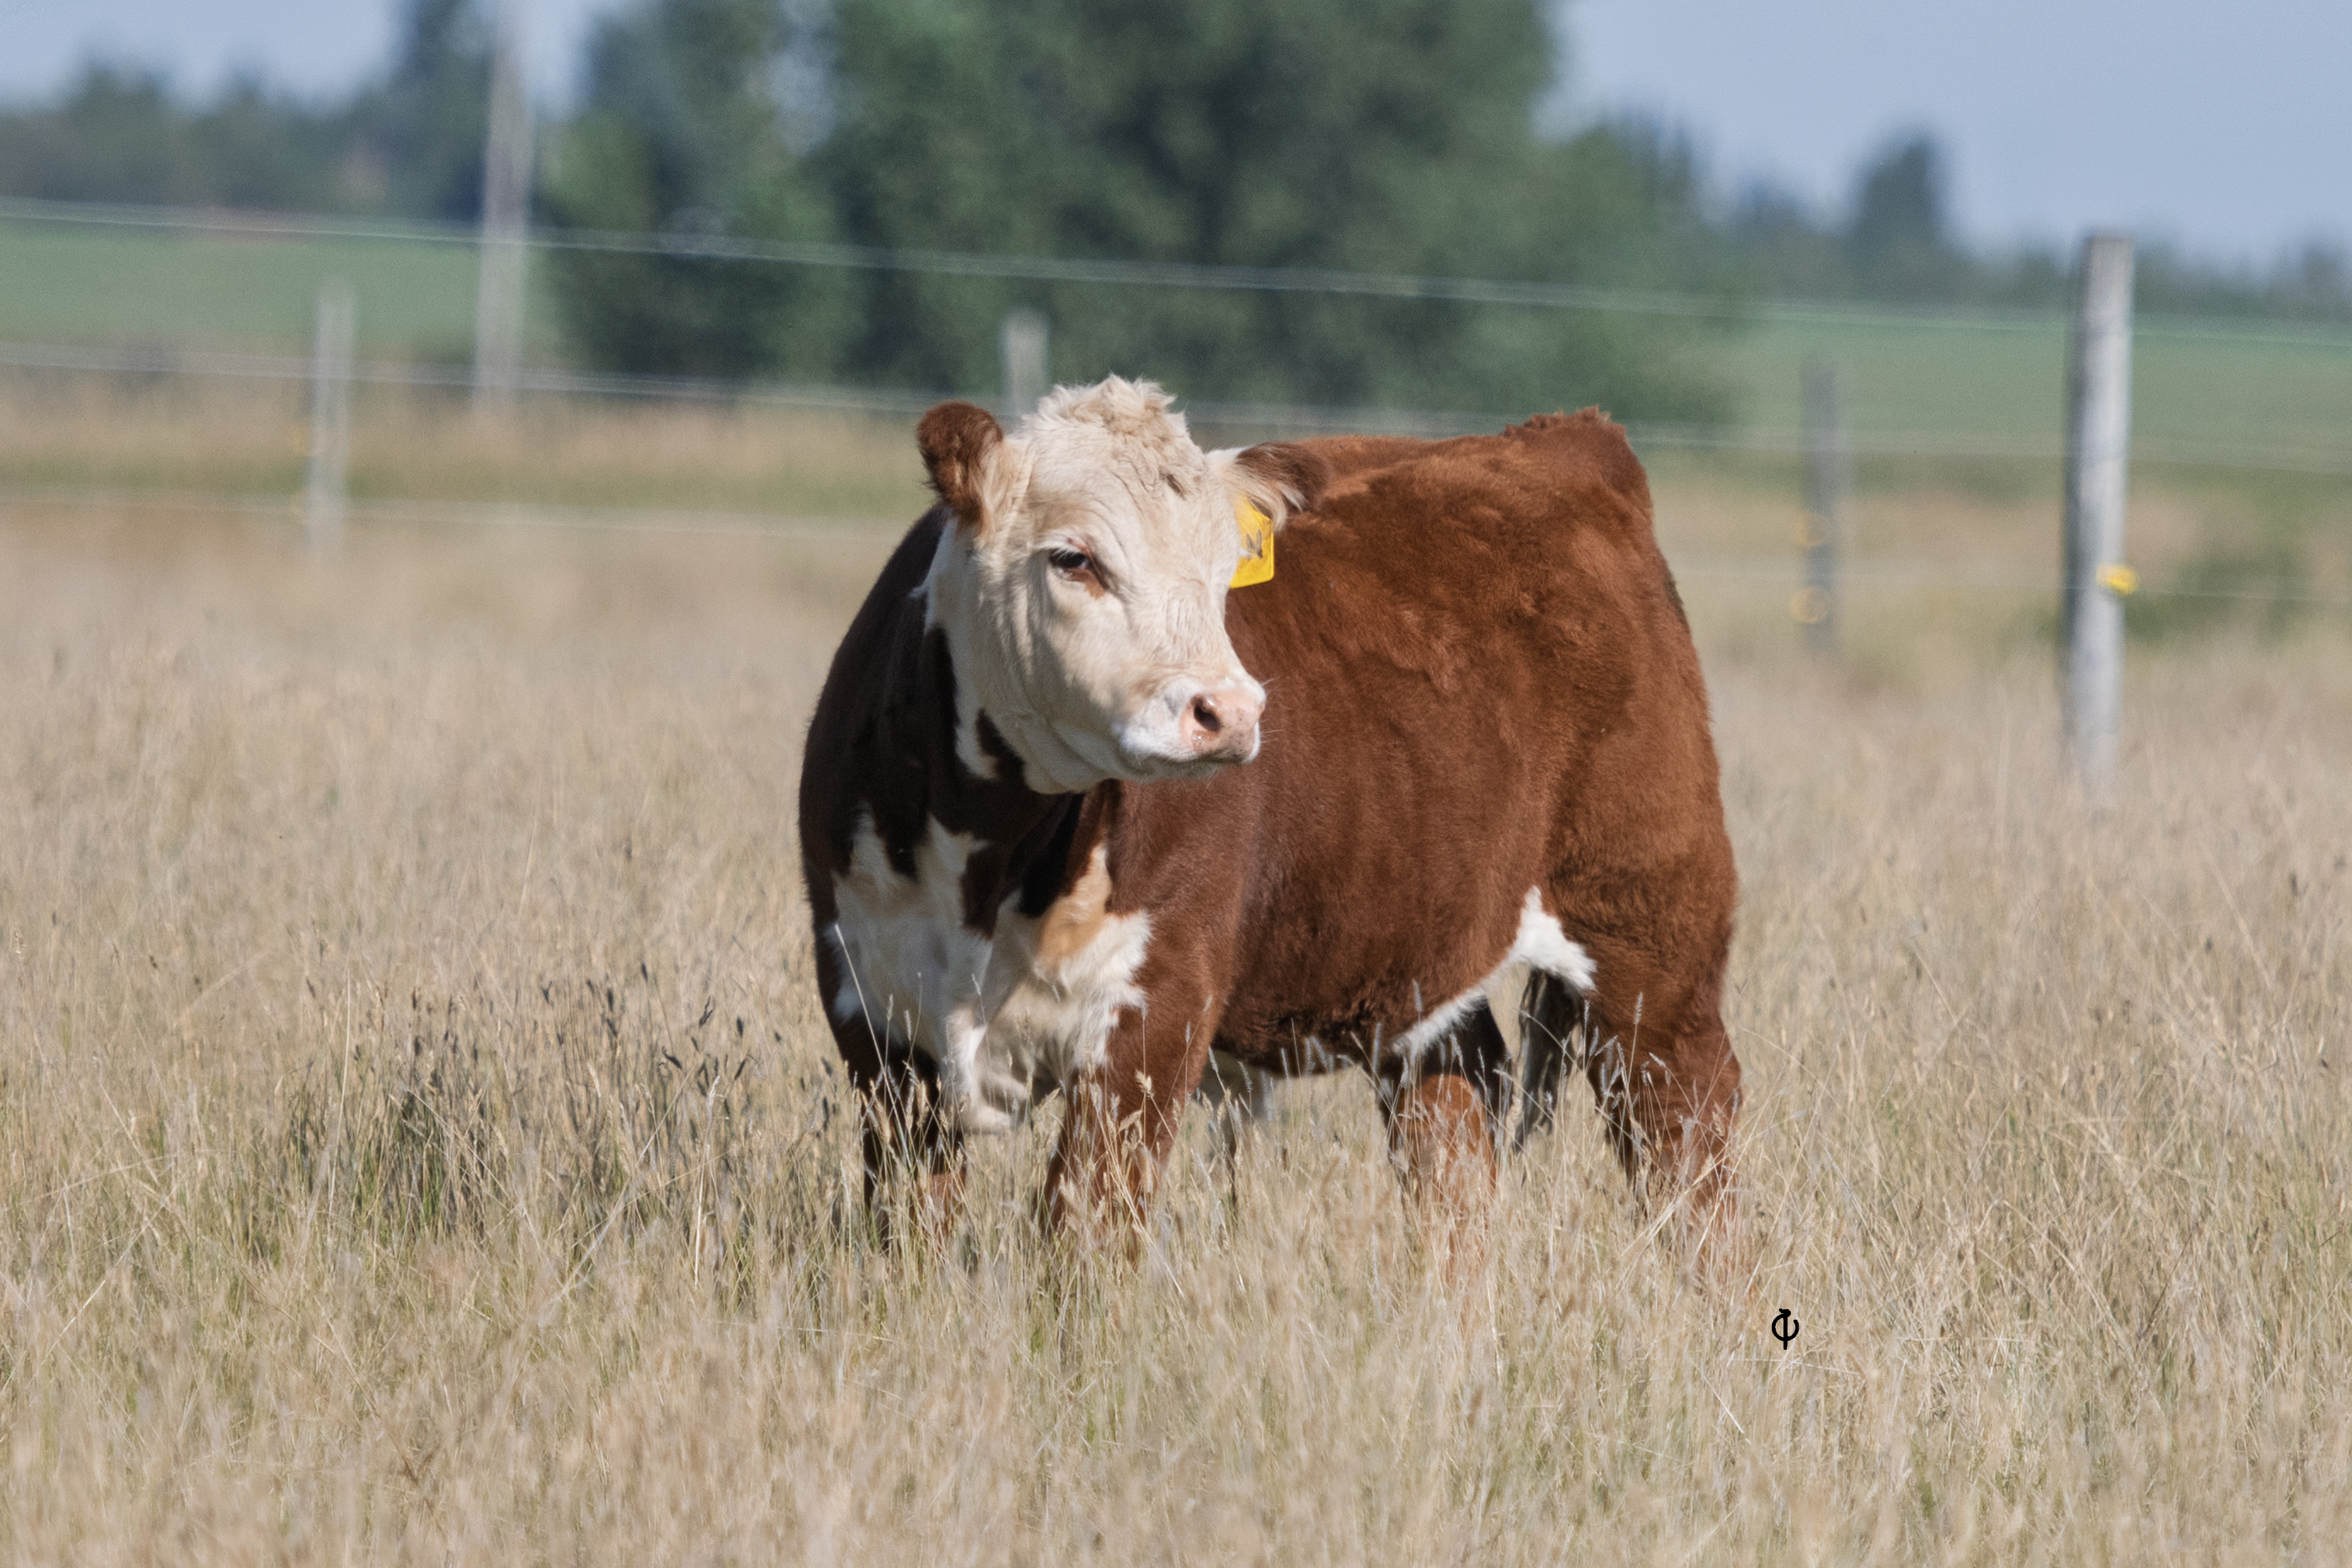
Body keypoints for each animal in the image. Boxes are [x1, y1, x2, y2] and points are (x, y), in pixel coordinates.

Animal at [796, 377, 1740, 1253]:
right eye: (1073, 558)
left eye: (1224, 575)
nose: (1230, 711)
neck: (988, 864)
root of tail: (1560, 439)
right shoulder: (873, 1018)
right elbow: (909, 1225)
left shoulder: (1155, 1015)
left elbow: (1087, 1226)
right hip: (1425, 944)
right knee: (1452, 1126)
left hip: (1650, 932)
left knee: (1683, 1127)